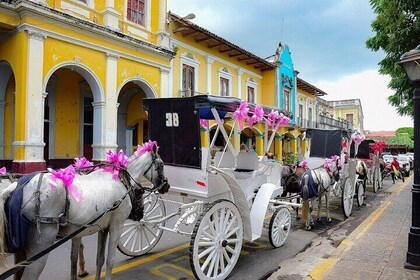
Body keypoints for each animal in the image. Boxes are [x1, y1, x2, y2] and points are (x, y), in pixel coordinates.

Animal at [0, 147, 169, 280]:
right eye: (161, 165)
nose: (166, 186)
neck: (120, 179)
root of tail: (14, 188)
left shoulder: (103, 228)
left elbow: (99, 260)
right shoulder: (117, 225)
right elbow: (110, 260)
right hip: (41, 246)